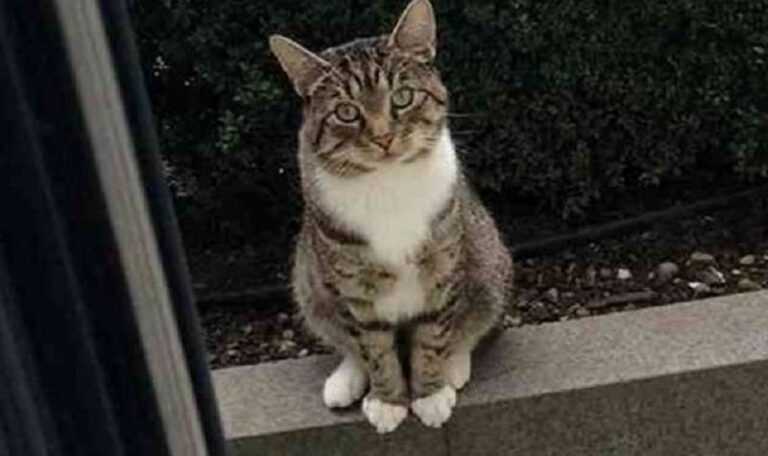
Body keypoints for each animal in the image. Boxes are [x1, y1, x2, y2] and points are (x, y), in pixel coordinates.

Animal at [268, 0, 512, 434]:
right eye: (346, 112)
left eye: (402, 97)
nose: (383, 137)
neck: (387, 182)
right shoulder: (350, 282)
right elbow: (372, 344)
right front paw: (387, 400)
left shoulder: (442, 264)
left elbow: (433, 332)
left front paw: (429, 393)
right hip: (308, 280)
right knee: (342, 335)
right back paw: (346, 379)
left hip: (489, 261)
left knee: (474, 319)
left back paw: (454, 365)